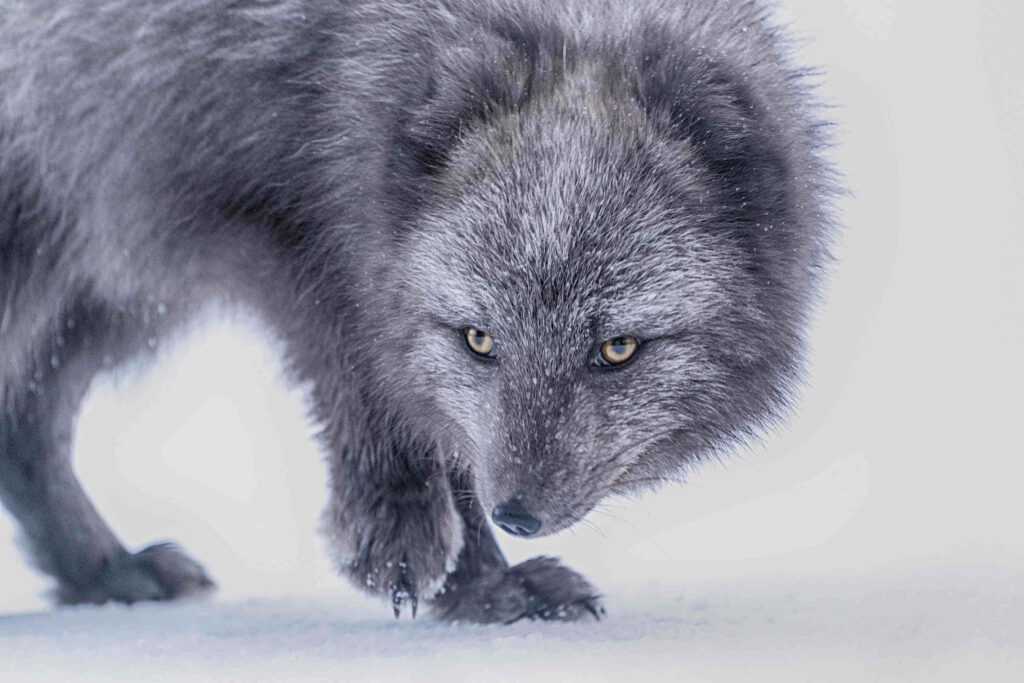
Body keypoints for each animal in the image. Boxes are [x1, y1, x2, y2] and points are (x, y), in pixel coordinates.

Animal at [0, 0, 835, 623]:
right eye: (479, 339)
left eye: (618, 349)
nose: (518, 514)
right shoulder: (269, 215)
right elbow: (369, 371)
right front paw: (412, 536)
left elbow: (444, 425)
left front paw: (483, 588)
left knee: (25, 419)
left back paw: (105, 572)